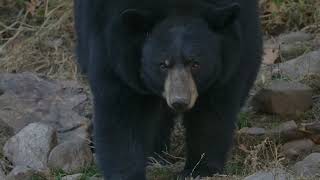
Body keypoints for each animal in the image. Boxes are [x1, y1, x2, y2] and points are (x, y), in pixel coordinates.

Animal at [74, 0, 262, 179]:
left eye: (195, 64)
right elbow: (121, 113)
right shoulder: (113, 47)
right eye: (163, 65)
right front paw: (127, 173)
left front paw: (198, 169)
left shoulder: (232, 55)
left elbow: (212, 112)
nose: (180, 101)